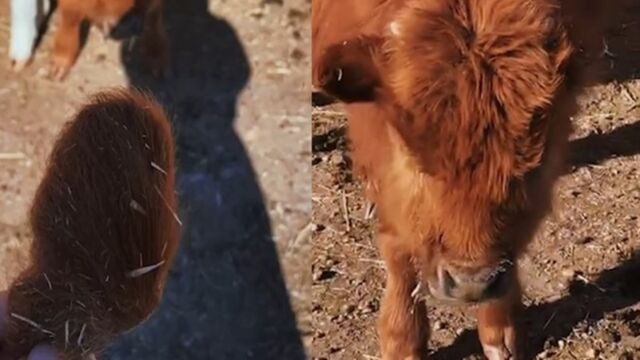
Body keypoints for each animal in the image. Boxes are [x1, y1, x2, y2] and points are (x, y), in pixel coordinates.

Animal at [312, 0, 584, 358]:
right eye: (415, 157)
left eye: (532, 164)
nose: (472, 282)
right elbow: (398, 245)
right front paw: (402, 339)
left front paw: (500, 334)